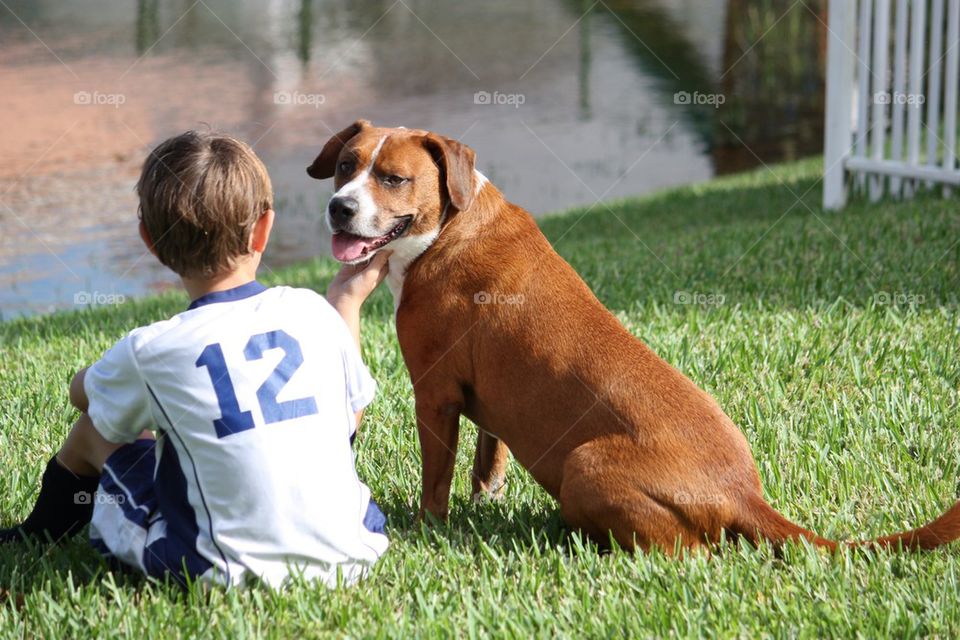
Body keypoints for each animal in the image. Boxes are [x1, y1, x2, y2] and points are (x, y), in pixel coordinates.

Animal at [310, 122, 960, 552]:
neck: (450, 226)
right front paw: (483, 499)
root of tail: (742, 493)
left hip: (586, 463)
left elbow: (437, 477)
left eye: (393, 178)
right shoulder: (480, 396)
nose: (339, 207)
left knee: (691, 551)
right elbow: (488, 454)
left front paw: (428, 527)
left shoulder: (436, 394)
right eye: (345, 165)